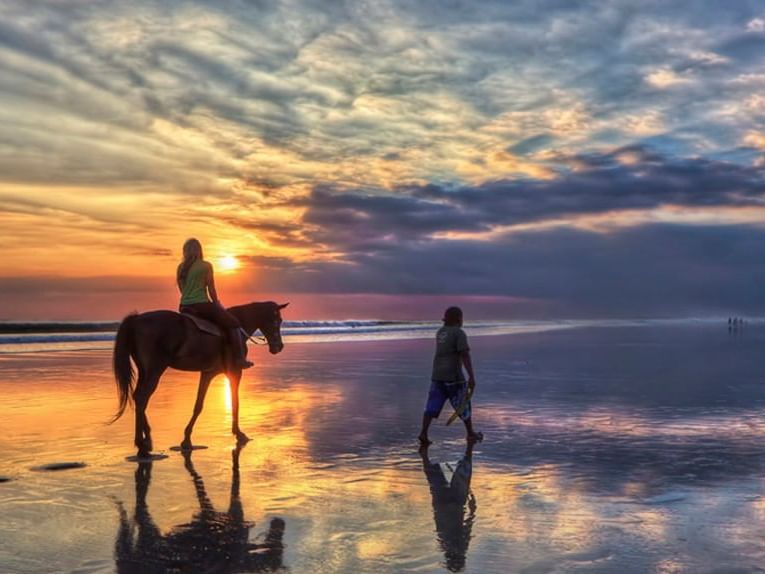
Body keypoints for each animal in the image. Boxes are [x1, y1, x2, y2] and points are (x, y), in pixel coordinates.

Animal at [114, 302, 290, 460]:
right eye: (278, 320)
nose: (279, 346)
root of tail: (136, 320)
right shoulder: (235, 372)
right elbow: (235, 403)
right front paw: (239, 433)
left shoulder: (207, 373)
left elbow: (198, 405)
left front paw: (186, 440)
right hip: (155, 370)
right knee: (142, 398)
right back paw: (142, 446)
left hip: (144, 370)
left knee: (138, 398)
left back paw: (147, 442)